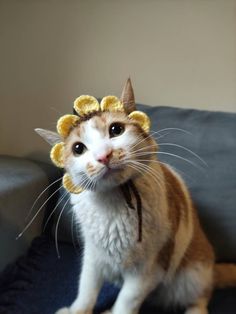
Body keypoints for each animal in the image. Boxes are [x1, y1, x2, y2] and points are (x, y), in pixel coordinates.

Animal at [36, 79, 236, 314]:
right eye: (78, 148)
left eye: (116, 129)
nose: (103, 156)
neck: (116, 202)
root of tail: (212, 267)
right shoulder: (93, 257)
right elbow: (86, 289)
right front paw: (78, 310)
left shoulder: (149, 270)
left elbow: (127, 301)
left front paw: (116, 309)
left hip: (193, 273)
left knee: (201, 297)